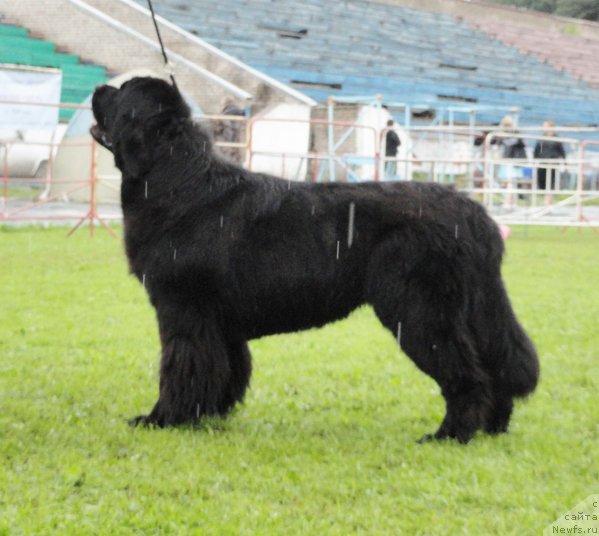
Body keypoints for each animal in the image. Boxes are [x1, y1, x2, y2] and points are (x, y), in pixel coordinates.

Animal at [90, 76, 540, 444]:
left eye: (122, 91)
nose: (97, 88)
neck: (174, 180)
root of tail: (476, 215)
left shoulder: (184, 310)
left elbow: (182, 368)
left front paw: (162, 419)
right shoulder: (221, 323)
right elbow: (227, 370)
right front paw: (211, 415)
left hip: (420, 311)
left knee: (467, 374)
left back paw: (450, 434)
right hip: (471, 309)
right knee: (496, 366)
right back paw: (492, 427)